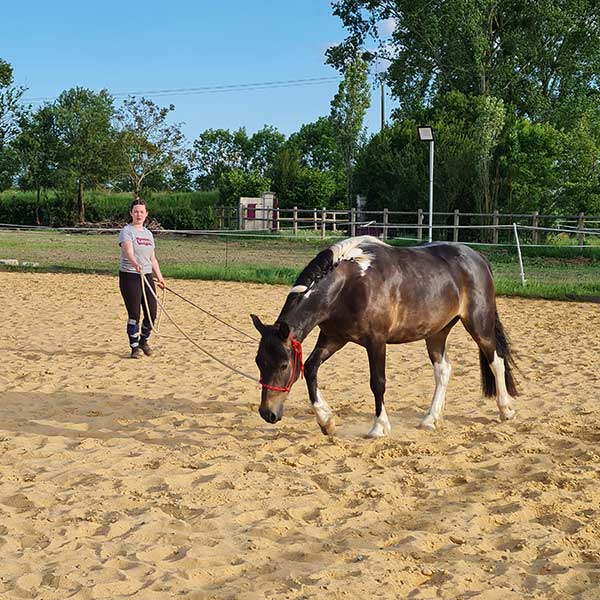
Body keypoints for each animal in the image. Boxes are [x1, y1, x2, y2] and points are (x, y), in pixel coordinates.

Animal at [251, 237, 516, 438]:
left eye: (283, 364)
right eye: (259, 362)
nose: (267, 413)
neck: (348, 284)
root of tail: (477, 257)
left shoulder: (376, 341)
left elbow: (377, 382)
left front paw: (379, 427)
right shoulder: (333, 338)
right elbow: (310, 368)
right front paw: (327, 421)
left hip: (479, 325)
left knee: (496, 361)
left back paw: (506, 410)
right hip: (437, 332)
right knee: (443, 370)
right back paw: (430, 419)